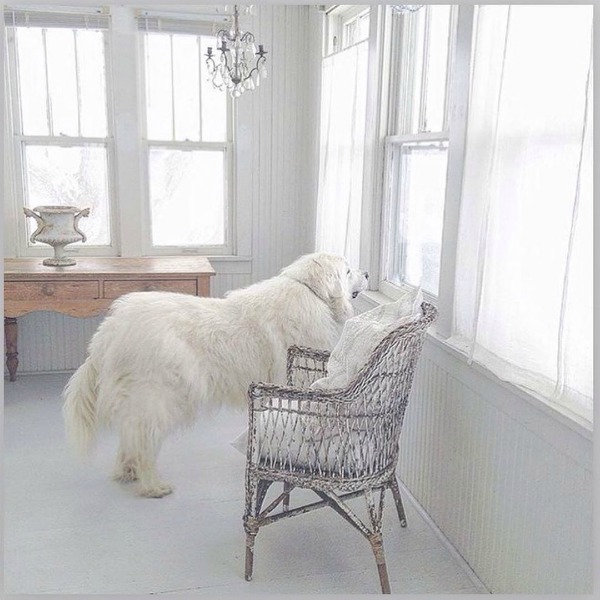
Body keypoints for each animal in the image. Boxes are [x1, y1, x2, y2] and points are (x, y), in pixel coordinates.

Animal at [63, 252, 368, 496]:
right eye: (347, 270)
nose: (366, 273)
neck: (311, 292)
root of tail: (110, 330)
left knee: (129, 436)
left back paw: (127, 472)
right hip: (155, 399)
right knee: (142, 441)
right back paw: (152, 485)